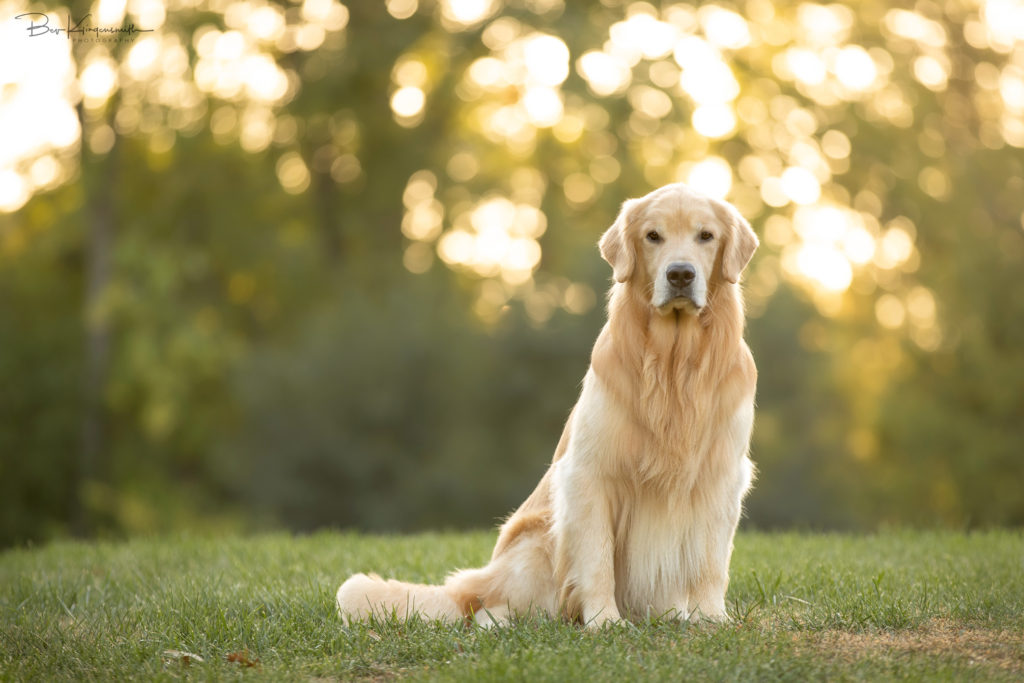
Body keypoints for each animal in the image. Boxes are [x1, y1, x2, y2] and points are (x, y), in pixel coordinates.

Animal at [337, 183, 761, 630]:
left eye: (706, 236)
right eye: (653, 236)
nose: (680, 274)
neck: (673, 365)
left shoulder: (720, 477)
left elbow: (712, 561)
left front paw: (710, 617)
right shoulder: (589, 475)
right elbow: (597, 560)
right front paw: (605, 621)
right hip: (536, 545)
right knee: (489, 606)